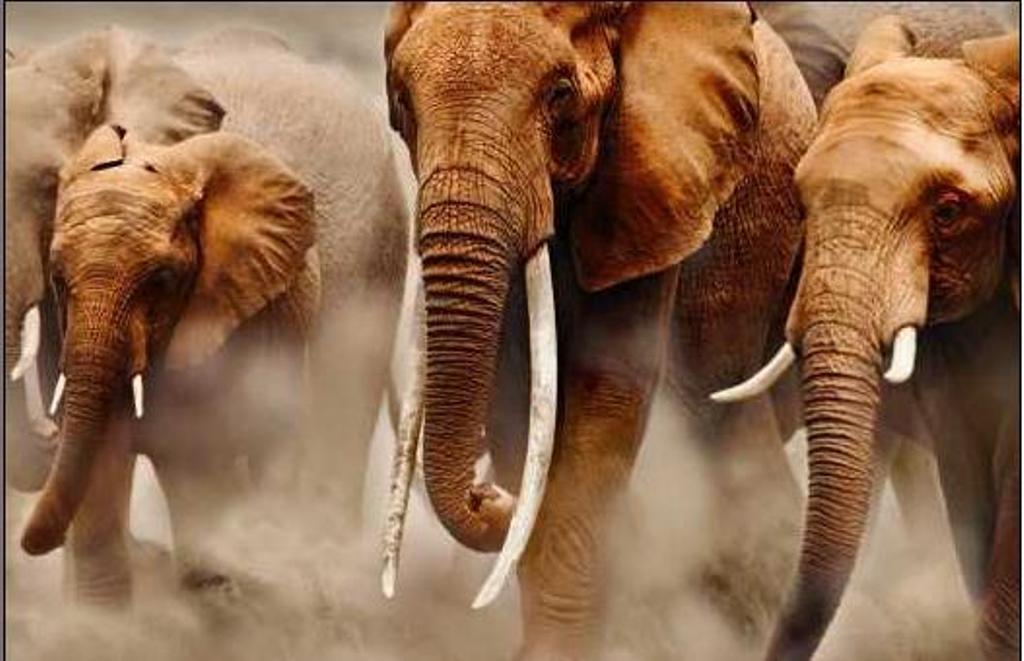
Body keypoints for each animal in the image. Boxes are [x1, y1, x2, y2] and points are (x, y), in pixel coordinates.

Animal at [377, 3, 819, 658]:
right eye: (402, 100)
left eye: (559, 93)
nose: (490, 497)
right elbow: (519, 399)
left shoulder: (653, 175)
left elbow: (605, 388)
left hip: (757, 223)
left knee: (717, 406)